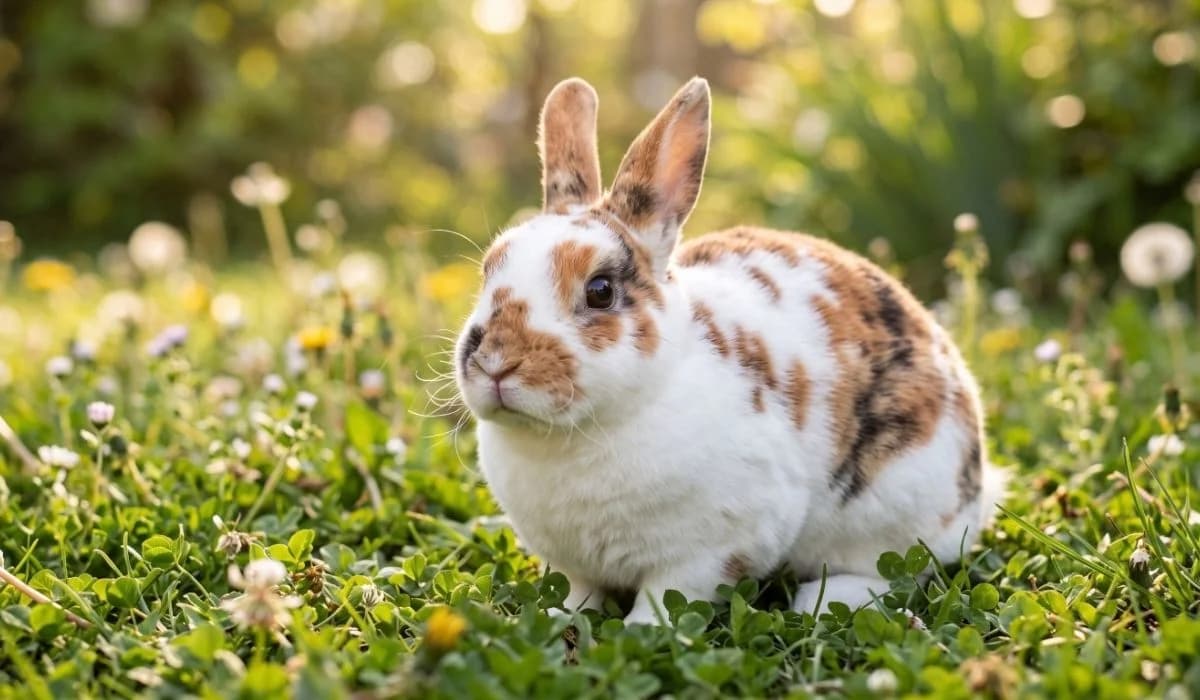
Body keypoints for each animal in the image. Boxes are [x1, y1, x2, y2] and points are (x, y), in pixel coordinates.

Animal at [453, 76, 1006, 625]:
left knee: (897, 569)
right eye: (488, 272)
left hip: (894, 511)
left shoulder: (710, 551)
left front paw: (640, 631)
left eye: (600, 290)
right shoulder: (573, 565)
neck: (570, 438)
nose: (497, 363)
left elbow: (667, 600)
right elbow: (577, 593)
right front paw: (553, 617)